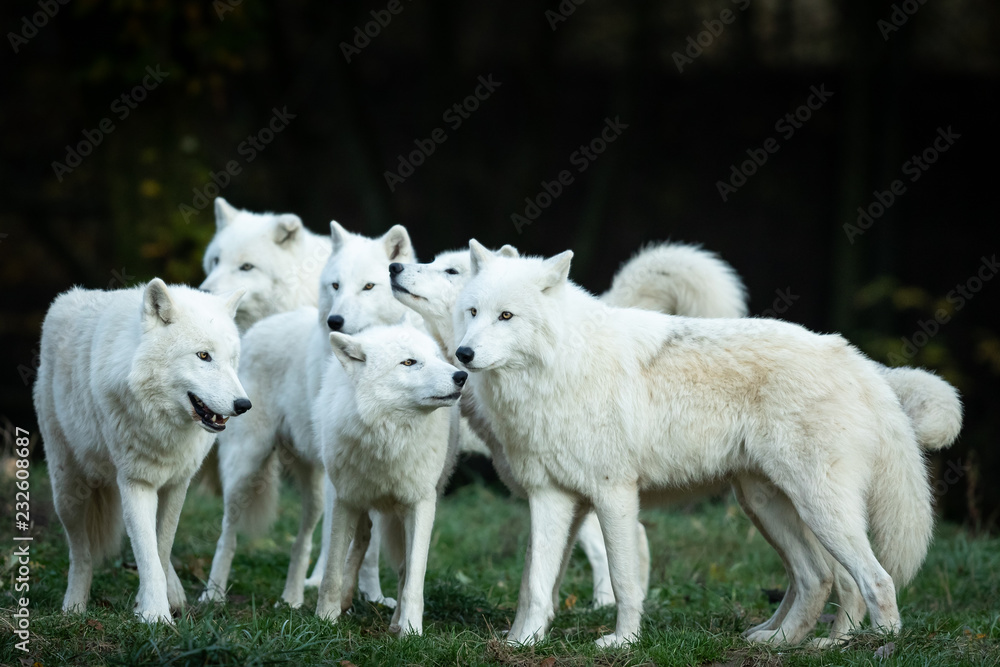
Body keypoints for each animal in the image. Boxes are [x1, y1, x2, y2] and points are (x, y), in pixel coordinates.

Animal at [33, 279, 250, 623]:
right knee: (80, 553)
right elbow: (146, 552)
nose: (244, 405)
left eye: (232, 359)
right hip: (67, 491)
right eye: (203, 356)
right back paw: (74, 606)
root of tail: (64, 300)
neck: (164, 424)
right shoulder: (136, 483)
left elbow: (161, 547)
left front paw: (156, 602)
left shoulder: (177, 484)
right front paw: (155, 615)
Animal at [199, 222, 415, 609]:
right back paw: (213, 595)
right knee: (228, 534)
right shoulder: (341, 480)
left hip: (311, 487)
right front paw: (335, 593)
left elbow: (371, 546)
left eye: (369, 286)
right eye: (335, 285)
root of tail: (255, 329)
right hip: (246, 470)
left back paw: (292, 599)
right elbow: (340, 539)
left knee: (301, 541)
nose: (335, 320)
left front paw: (373, 596)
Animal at [314, 325, 466, 636]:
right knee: (362, 539)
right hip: (358, 501)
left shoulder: (421, 504)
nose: (461, 376)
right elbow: (332, 570)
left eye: (436, 357)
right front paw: (325, 618)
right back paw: (346, 599)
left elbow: (413, 578)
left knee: (402, 567)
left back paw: (396, 622)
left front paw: (410, 630)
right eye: (409, 362)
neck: (390, 438)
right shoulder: (345, 500)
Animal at [454, 240, 944, 648]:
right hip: (766, 506)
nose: (462, 355)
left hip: (820, 510)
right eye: (473, 312)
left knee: (874, 580)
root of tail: (854, 359)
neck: (558, 368)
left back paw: (871, 646)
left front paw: (623, 643)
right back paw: (783, 641)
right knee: (818, 578)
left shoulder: (615, 494)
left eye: (506, 316)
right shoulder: (549, 496)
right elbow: (535, 584)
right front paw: (522, 642)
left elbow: (624, 581)